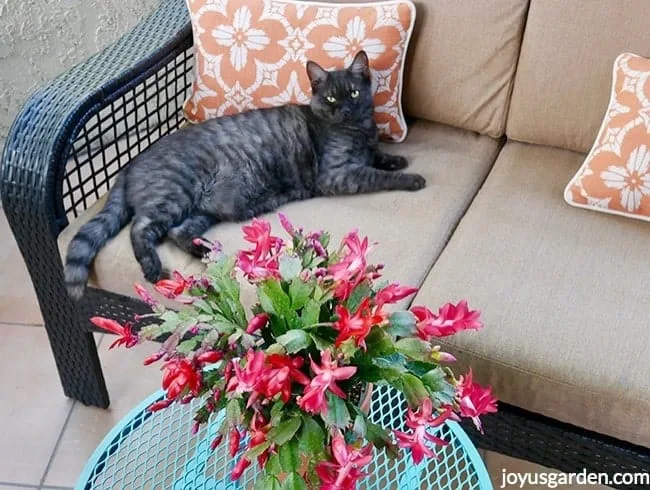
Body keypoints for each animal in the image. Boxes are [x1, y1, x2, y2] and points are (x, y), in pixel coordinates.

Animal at [64, 51, 426, 300]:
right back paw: (153, 268)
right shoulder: (338, 175)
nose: (346, 108)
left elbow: (378, 157)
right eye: (331, 97)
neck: (358, 129)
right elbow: (374, 175)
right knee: (141, 229)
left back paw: (204, 251)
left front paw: (396, 160)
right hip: (175, 194)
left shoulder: (363, 152)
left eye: (353, 93)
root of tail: (128, 167)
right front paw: (412, 179)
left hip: (204, 209)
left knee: (177, 232)